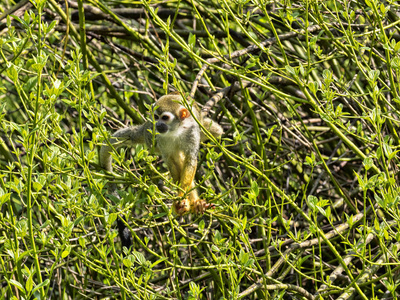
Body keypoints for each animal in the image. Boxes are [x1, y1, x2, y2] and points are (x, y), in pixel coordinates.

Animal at [99, 94, 222, 246]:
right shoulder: (160, 138)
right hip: (149, 135)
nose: (157, 125)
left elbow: (190, 160)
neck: (177, 130)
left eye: (164, 118)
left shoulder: (192, 130)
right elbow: (171, 160)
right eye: (156, 117)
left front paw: (183, 197)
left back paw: (195, 204)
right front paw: (180, 201)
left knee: (216, 130)